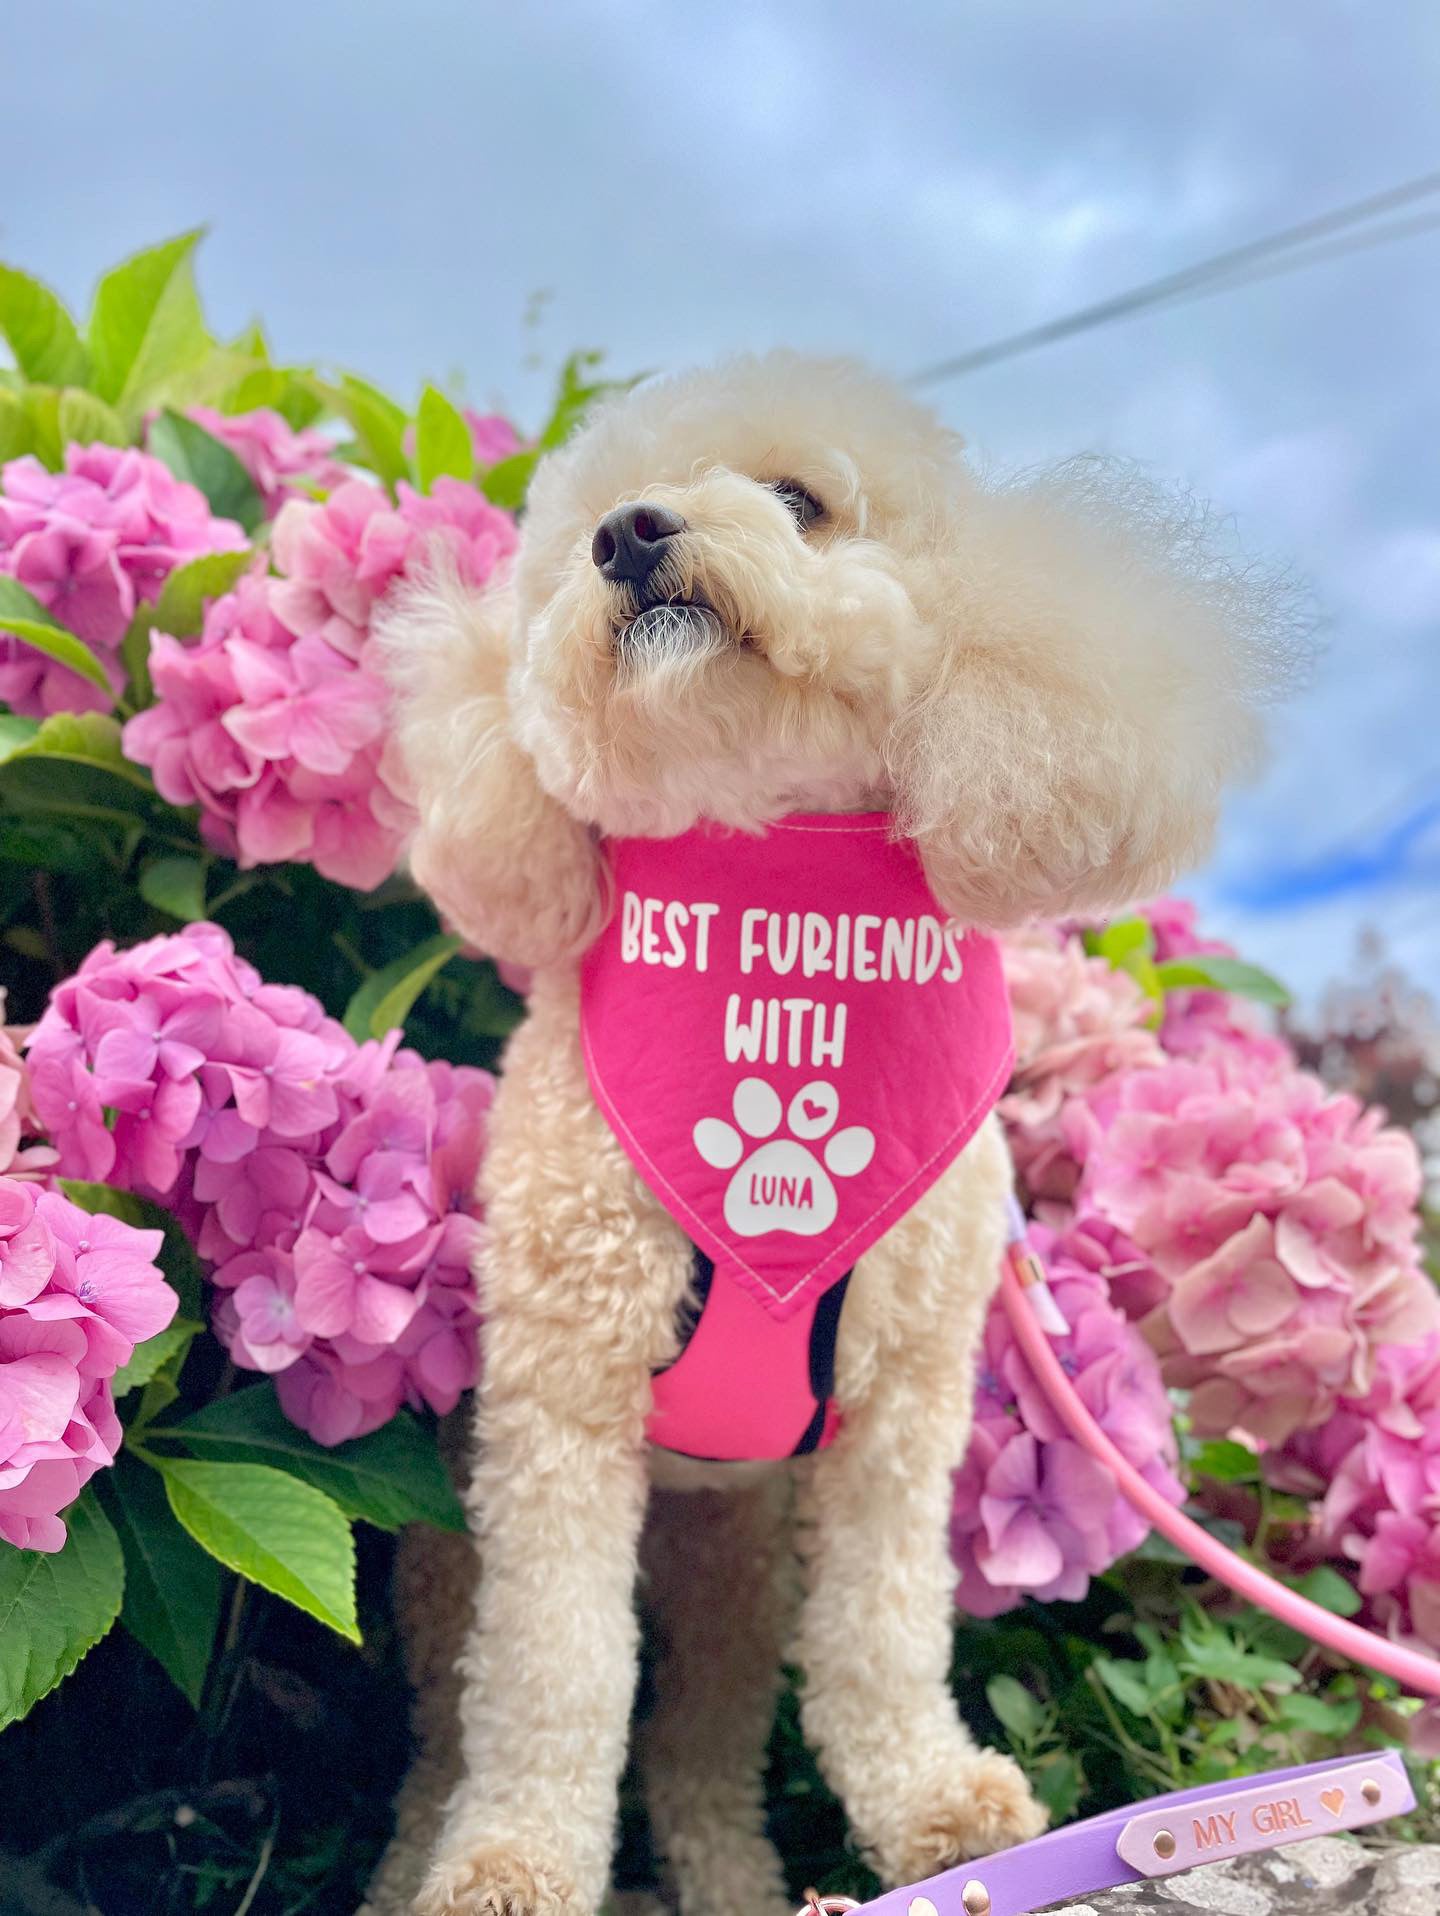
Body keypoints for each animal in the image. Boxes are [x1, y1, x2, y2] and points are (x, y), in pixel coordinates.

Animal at [361, 356, 1294, 1916]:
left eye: (800, 498)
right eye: (587, 522)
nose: (631, 533)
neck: (773, 894)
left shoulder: (903, 1417)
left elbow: (885, 1632)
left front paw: (934, 1803)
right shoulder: (560, 1412)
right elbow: (552, 1678)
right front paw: (513, 1862)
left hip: (734, 1570)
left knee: (703, 1746)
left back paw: (738, 1880)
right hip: (456, 1562)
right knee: (449, 1730)